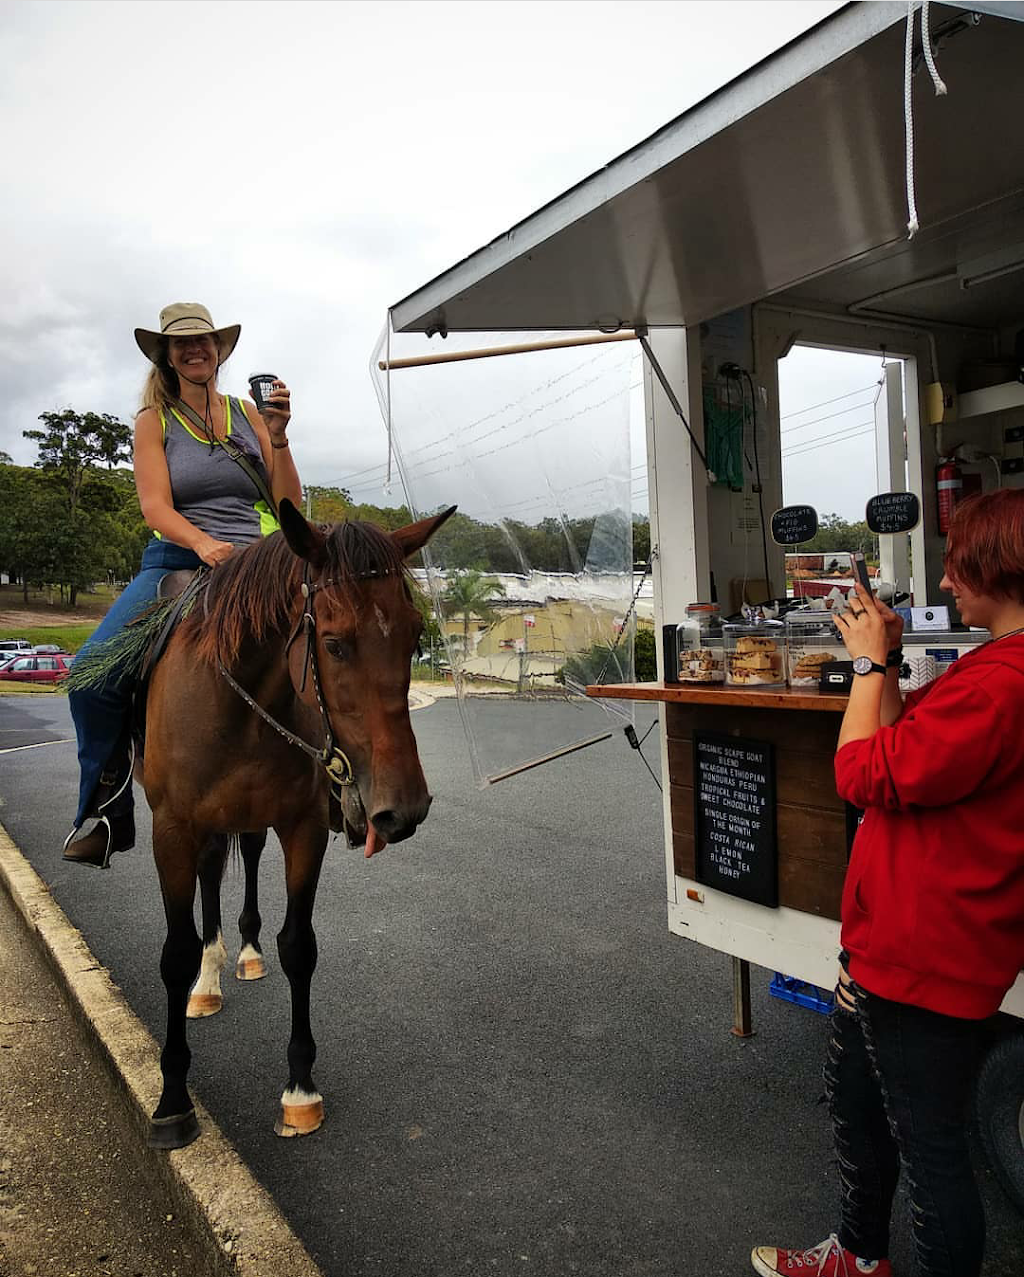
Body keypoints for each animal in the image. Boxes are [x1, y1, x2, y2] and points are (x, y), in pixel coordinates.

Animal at [137, 495, 451, 1149]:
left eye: (415, 636)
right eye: (333, 644)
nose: (404, 808)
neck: (240, 700)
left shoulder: (302, 828)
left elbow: (299, 946)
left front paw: (300, 1089)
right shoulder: (170, 830)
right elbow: (175, 952)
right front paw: (173, 1099)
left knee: (242, 860)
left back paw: (244, 953)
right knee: (209, 879)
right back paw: (207, 982)